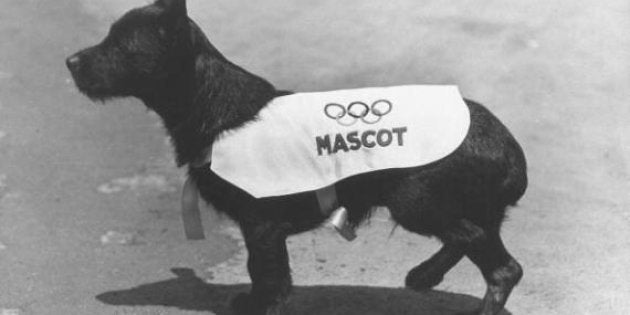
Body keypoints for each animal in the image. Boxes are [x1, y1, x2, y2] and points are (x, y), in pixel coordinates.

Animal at [65, 1, 528, 314]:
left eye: (121, 44)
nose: (69, 62)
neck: (217, 105)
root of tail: (508, 148)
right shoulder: (263, 229)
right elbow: (267, 273)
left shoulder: (261, 224)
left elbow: (266, 272)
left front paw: (262, 306)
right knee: (474, 241)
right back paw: (425, 274)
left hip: (418, 203)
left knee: (497, 263)